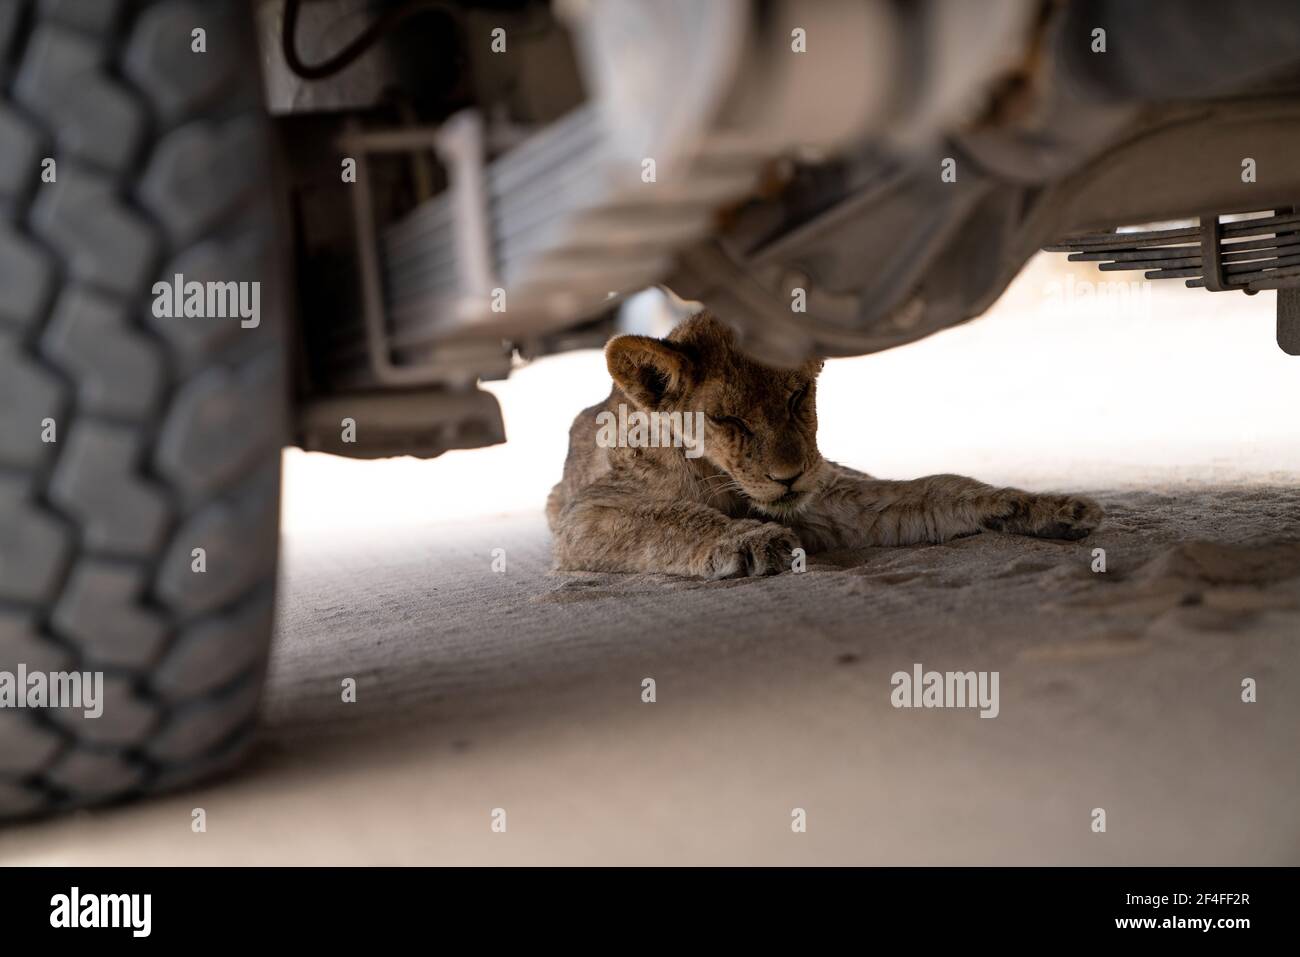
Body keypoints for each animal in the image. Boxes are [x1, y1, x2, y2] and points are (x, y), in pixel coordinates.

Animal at [547, 311, 1102, 578]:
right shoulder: (588, 512)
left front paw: (1042, 506)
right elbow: (673, 517)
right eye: (726, 418)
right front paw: (748, 540)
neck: (720, 474)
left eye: (798, 396)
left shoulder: (829, 496)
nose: (789, 476)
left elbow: (934, 488)